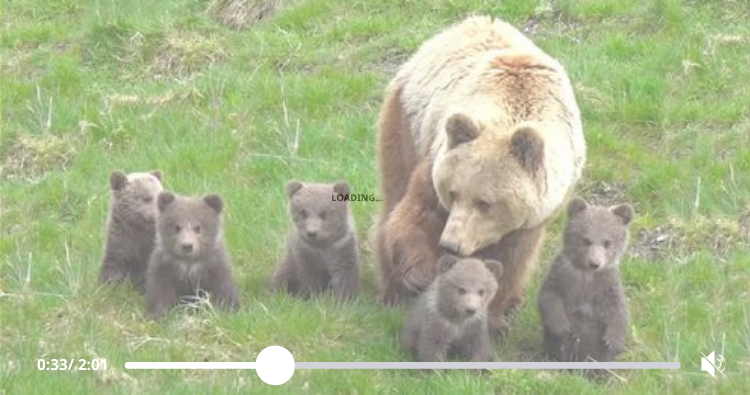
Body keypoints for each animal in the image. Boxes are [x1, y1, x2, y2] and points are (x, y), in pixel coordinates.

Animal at [376, 15, 588, 338]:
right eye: (452, 192)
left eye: (485, 203)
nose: (450, 244)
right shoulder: (438, 159)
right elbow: (416, 215)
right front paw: (423, 275)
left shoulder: (535, 214)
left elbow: (511, 261)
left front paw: (492, 319)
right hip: (407, 121)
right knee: (393, 194)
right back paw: (391, 289)